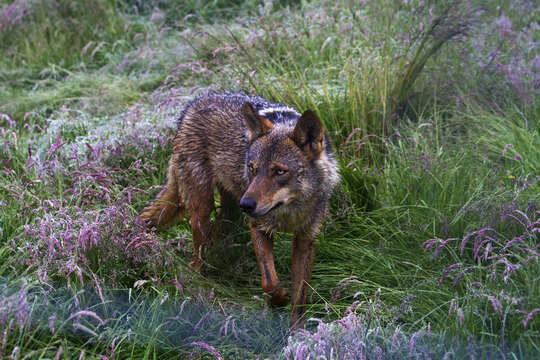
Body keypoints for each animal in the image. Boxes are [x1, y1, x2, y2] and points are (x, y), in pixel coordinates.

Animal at [138, 93, 338, 330]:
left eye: (279, 171)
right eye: (252, 168)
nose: (247, 205)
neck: (290, 212)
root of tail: (193, 104)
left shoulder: (305, 242)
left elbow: (300, 297)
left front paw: (297, 332)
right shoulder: (258, 226)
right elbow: (270, 282)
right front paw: (278, 300)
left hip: (229, 212)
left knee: (215, 235)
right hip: (203, 209)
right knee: (197, 258)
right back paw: (199, 290)